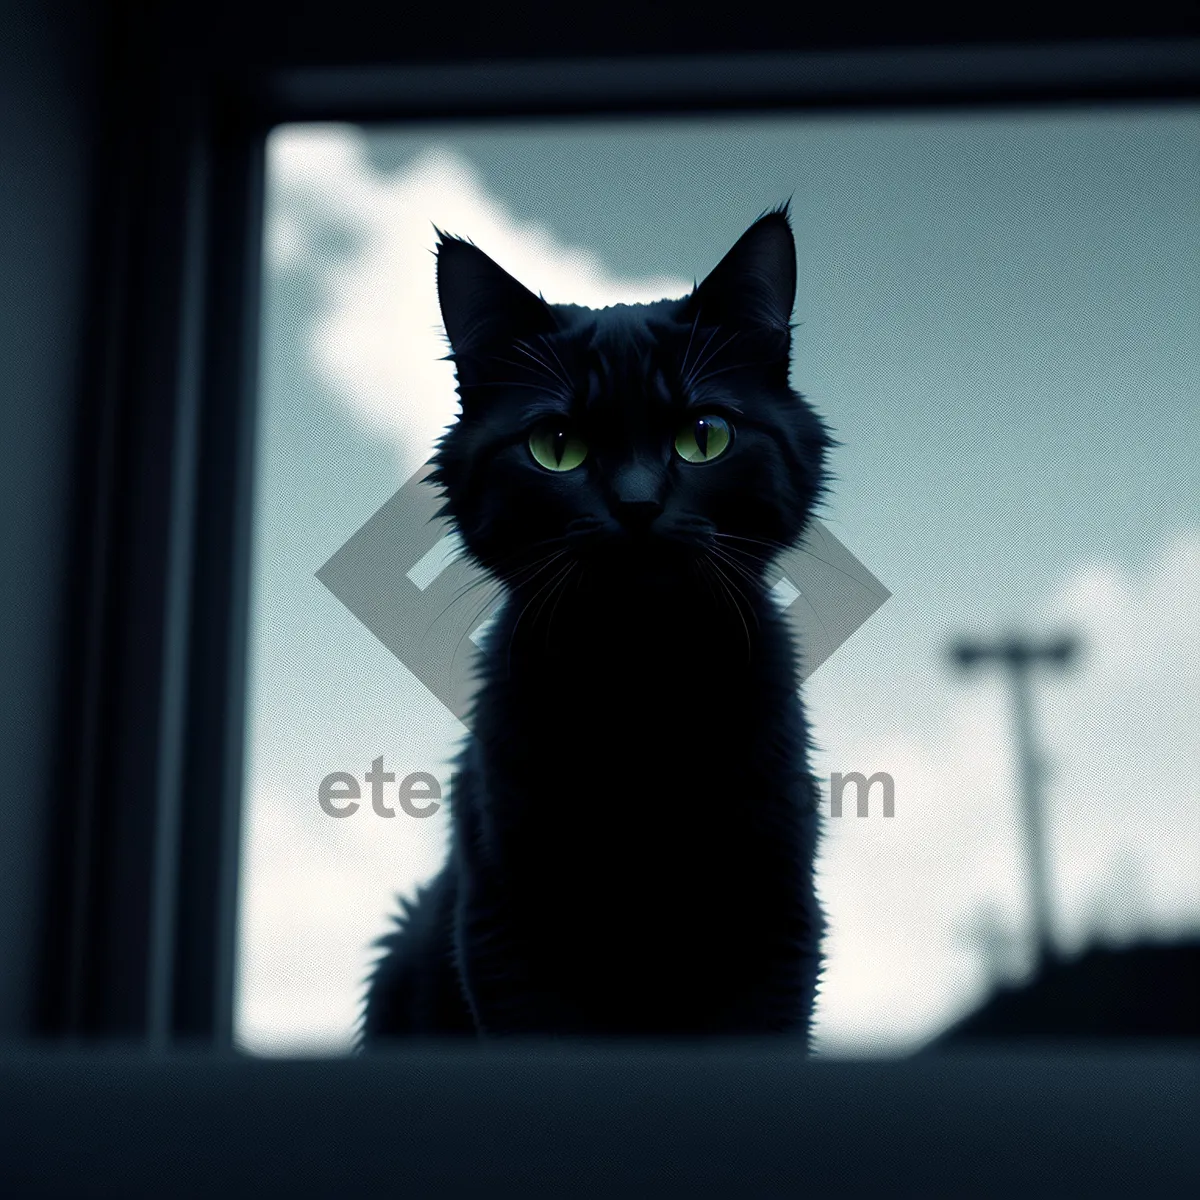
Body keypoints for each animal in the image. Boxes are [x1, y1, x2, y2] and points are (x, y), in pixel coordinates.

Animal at [360, 204, 830, 1041]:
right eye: (557, 447)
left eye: (704, 436)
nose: (637, 505)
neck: (636, 691)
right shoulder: (506, 936)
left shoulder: (777, 930)